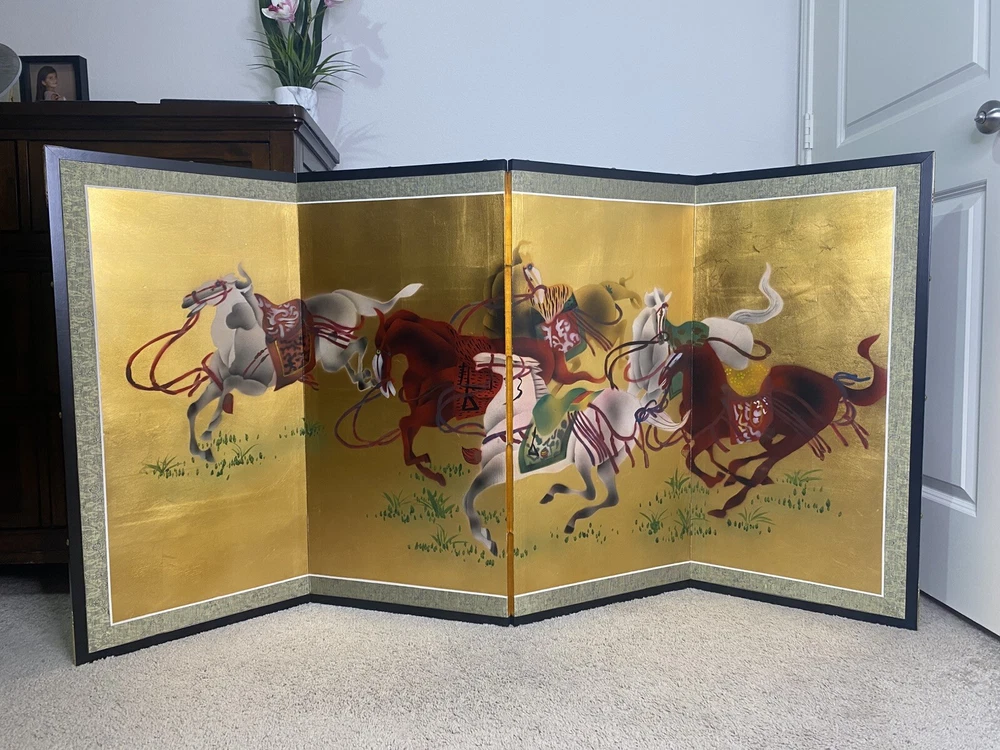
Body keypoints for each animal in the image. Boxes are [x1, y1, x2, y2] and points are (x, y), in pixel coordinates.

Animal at [370, 310, 603, 486]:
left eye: (382, 349)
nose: (384, 385)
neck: (434, 360)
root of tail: (546, 347)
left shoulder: (434, 413)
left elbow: (405, 424)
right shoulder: (424, 411)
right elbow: (408, 431)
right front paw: (428, 468)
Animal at [459, 353, 688, 555]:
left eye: (513, 360)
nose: (479, 358)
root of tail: (635, 407)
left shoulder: (501, 467)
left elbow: (468, 499)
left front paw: (489, 542)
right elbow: (469, 500)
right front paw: (487, 535)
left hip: (583, 456)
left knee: (591, 492)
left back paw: (560, 506)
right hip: (610, 459)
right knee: (611, 497)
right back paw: (565, 513)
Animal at [656, 333, 887, 518]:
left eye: (682, 354)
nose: (661, 377)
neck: (709, 399)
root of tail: (834, 386)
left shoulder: (707, 437)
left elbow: (690, 461)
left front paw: (714, 480)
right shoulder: (703, 439)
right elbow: (700, 457)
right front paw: (722, 476)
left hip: (801, 434)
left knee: (767, 461)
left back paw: (728, 502)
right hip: (789, 432)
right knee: (768, 450)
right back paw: (740, 473)